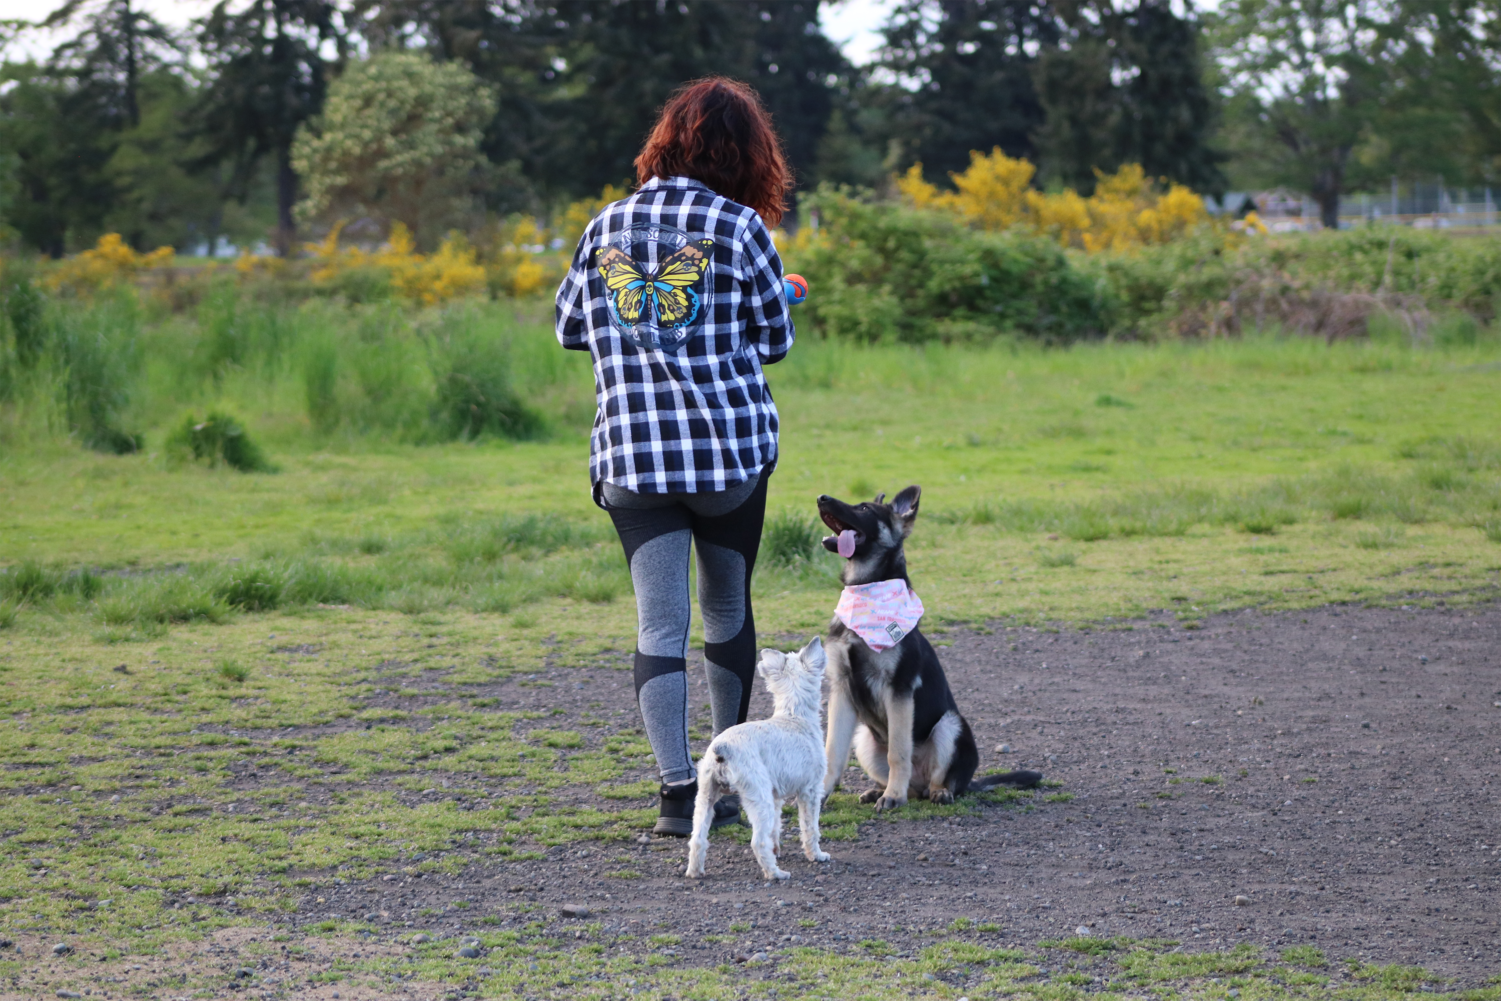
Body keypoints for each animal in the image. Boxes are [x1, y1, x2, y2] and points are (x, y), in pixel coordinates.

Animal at [687, 639, 840, 882]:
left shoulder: (776, 796)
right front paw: (816, 855)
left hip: (705, 798)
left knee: (697, 839)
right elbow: (810, 828)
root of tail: (722, 749)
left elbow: (775, 827)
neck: (793, 715)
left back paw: (695, 872)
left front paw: (776, 849)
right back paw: (775, 873)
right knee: (757, 841)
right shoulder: (811, 791)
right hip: (758, 798)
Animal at [816, 486, 1038, 816]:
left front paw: (893, 797)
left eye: (865, 509)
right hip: (865, 739)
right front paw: (818, 796)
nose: (821, 498)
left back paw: (935, 792)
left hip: (950, 724)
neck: (868, 588)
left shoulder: (899, 690)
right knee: (909, 783)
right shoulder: (841, 691)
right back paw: (881, 789)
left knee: (941, 780)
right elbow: (832, 753)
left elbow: (898, 752)